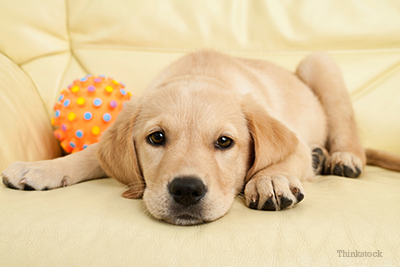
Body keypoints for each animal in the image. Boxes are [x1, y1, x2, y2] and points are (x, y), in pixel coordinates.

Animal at [3, 50, 400, 226]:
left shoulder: (295, 143)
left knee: (347, 134)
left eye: (225, 142)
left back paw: (342, 158)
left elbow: (279, 159)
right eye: (156, 138)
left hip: (319, 62)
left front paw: (269, 180)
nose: (186, 191)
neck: (201, 72)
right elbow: (89, 154)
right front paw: (39, 169)